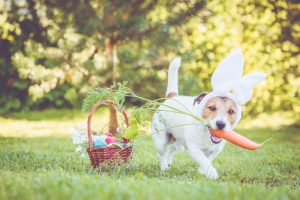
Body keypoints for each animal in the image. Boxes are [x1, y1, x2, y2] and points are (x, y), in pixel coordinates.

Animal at [151, 50, 266, 180]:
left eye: (231, 111)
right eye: (212, 108)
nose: (220, 124)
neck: (206, 132)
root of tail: (172, 97)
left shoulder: (216, 149)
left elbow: (209, 158)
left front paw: (202, 171)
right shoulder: (194, 148)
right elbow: (203, 159)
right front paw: (211, 173)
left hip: (178, 141)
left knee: (173, 148)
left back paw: (169, 161)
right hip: (161, 139)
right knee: (162, 153)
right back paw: (164, 167)